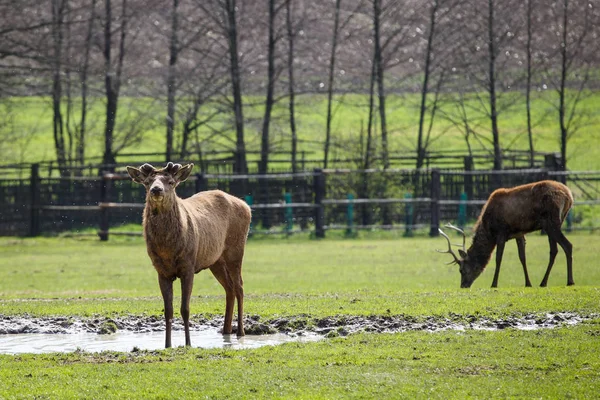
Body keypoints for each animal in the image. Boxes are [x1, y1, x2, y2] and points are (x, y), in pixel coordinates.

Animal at [126, 162, 251, 346]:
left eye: (170, 182)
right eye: (147, 182)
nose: (156, 190)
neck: (168, 250)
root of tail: (247, 206)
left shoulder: (188, 266)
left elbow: (185, 308)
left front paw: (188, 343)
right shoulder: (161, 271)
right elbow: (168, 311)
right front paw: (167, 345)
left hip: (235, 250)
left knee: (239, 286)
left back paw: (240, 332)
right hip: (215, 261)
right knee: (229, 288)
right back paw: (226, 330)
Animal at [438, 180, 576, 288]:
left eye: (461, 270)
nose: (463, 285)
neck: (489, 230)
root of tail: (569, 195)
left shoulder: (501, 232)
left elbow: (498, 258)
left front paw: (494, 284)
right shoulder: (519, 233)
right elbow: (522, 257)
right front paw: (528, 283)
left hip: (551, 222)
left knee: (567, 245)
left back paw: (569, 281)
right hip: (555, 222)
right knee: (554, 250)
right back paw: (544, 282)